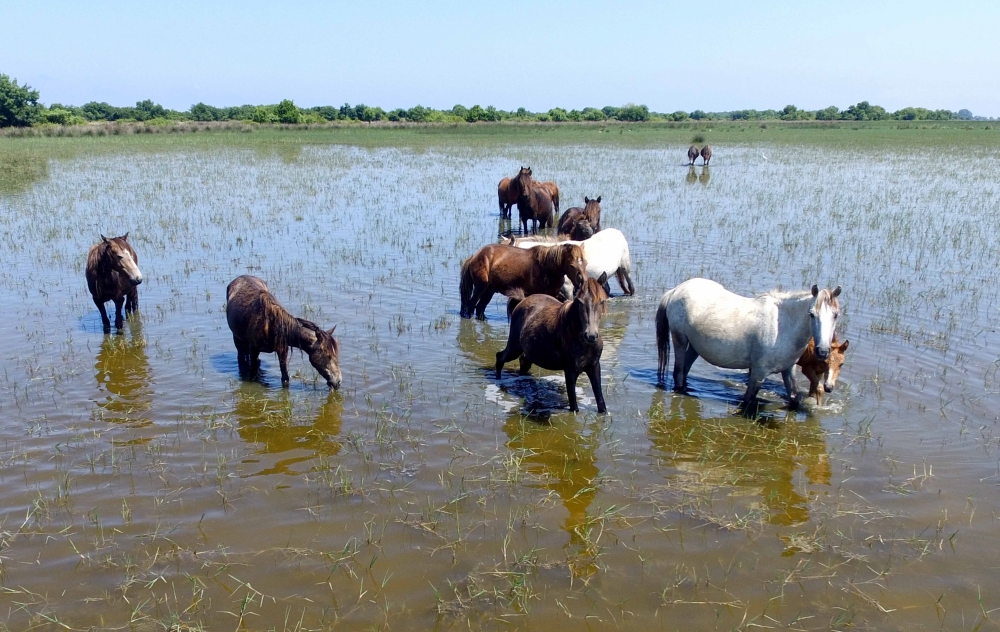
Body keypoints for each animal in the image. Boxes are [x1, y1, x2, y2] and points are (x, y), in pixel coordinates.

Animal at [458, 243, 588, 320]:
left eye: (586, 263)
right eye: (572, 265)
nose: (582, 282)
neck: (546, 268)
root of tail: (474, 256)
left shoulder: (554, 294)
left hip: (489, 290)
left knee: (480, 308)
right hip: (481, 287)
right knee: (471, 305)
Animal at [656, 278, 844, 408]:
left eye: (835, 315)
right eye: (811, 314)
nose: (823, 351)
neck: (782, 326)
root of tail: (675, 290)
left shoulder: (788, 370)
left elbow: (794, 399)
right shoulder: (759, 373)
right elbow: (748, 401)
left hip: (695, 347)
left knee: (685, 370)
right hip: (680, 340)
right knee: (679, 372)